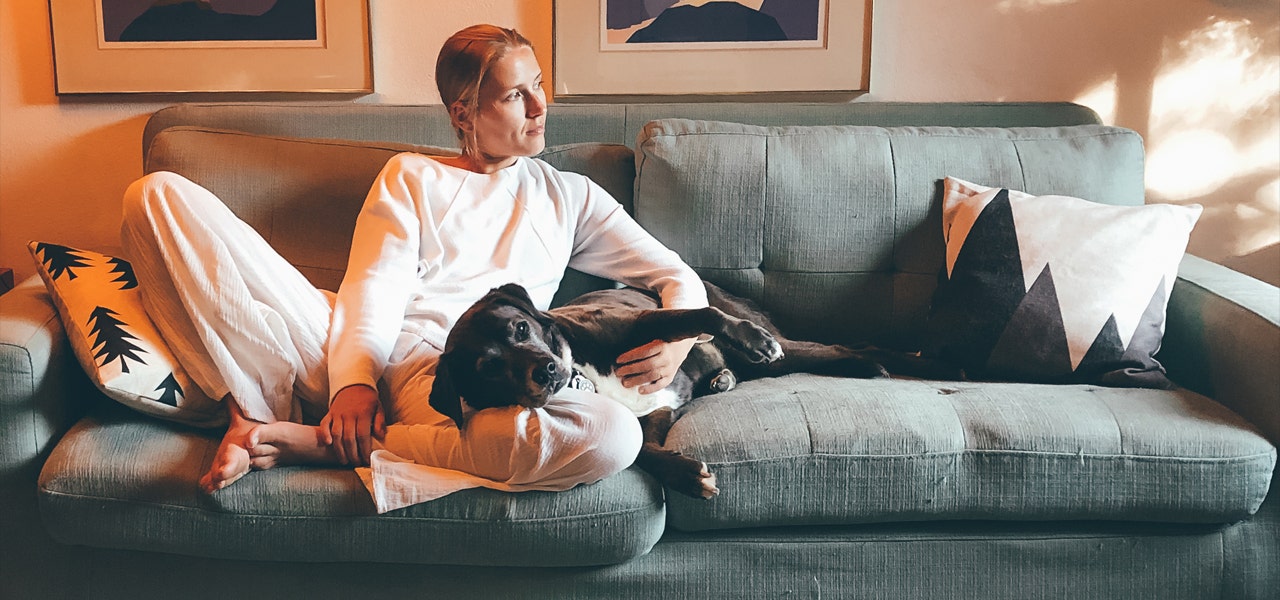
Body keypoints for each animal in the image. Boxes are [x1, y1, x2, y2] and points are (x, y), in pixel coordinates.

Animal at [430, 282, 942, 498]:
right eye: (489, 368)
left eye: (520, 327)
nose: (546, 372)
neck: (583, 374)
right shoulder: (655, 412)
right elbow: (642, 449)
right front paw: (686, 475)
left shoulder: (646, 322)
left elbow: (703, 315)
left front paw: (748, 337)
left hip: (780, 344)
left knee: (838, 346)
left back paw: (890, 363)